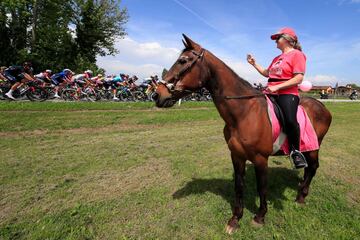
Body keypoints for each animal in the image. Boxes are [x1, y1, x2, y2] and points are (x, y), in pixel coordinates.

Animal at [153, 34, 334, 233]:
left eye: (183, 61)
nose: (157, 94)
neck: (244, 113)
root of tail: (322, 106)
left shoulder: (261, 159)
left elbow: (262, 187)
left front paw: (260, 216)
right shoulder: (237, 156)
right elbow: (239, 187)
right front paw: (235, 219)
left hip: (313, 148)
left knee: (313, 167)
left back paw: (301, 196)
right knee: (309, 169)